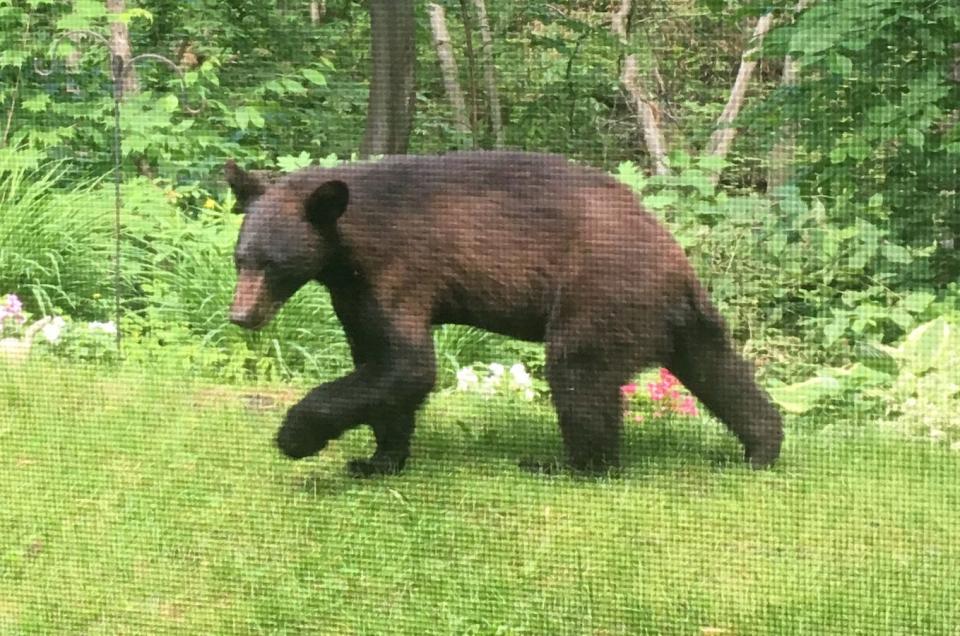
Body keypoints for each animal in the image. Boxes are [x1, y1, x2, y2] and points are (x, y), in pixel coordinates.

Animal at [225, 150, 780, 476]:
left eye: (273, 264)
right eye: (241, 258)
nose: (241, 316)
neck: (347, 249)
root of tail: (679, 262)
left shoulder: (400, 269)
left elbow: (407, 366)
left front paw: (296, 436)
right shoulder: (355, 293)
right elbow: (379, 367)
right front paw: (377, 459)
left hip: (602, 295)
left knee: (578, 373)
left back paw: (567, 464)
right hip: (676, 319)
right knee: (720, 372)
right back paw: (762, 445)